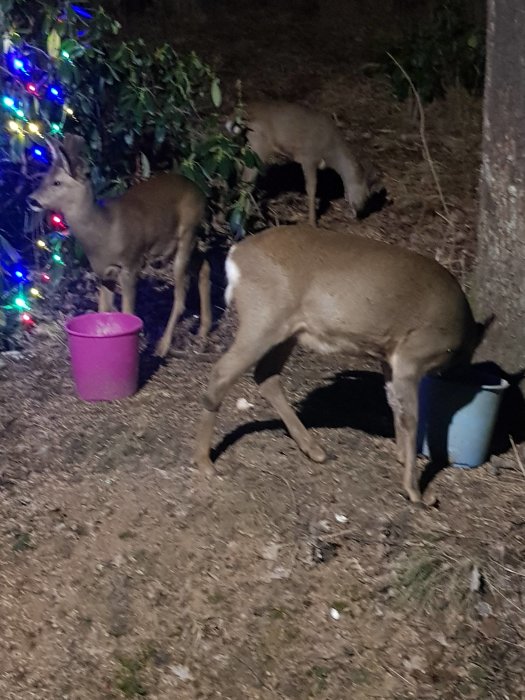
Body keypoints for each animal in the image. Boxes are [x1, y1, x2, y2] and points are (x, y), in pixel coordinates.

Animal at [28, 135, 211, 358]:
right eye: (45, 177)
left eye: (57, 182)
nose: (31, 199)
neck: (104, 231)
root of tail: (201, 192)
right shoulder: (103, 273)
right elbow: (103, 311)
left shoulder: (131, 263)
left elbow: (128, 312)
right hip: (180, 244)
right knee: (204, 265)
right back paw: (203, 331)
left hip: (187, 232)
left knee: (181, 293)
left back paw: (163, 346)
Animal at [192, 224, 488, 504]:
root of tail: (236, 254)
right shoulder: (411, 356)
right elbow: (411, 419)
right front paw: (415, 491)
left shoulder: (389, 357)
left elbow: (394, 403)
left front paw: (402, 457)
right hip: (263, 316)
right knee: (223, 372)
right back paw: (205, 463)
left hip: (288, 329)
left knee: (266, 375)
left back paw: (315, 450)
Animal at [229, 101, 384, 226]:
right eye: (367, 194)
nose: (360, 212)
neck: (331, 153)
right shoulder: (309, 157)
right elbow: (311, 188)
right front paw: (312, 222)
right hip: (258, 146)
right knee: (247, 181)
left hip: (243, 145)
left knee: (238, 169)